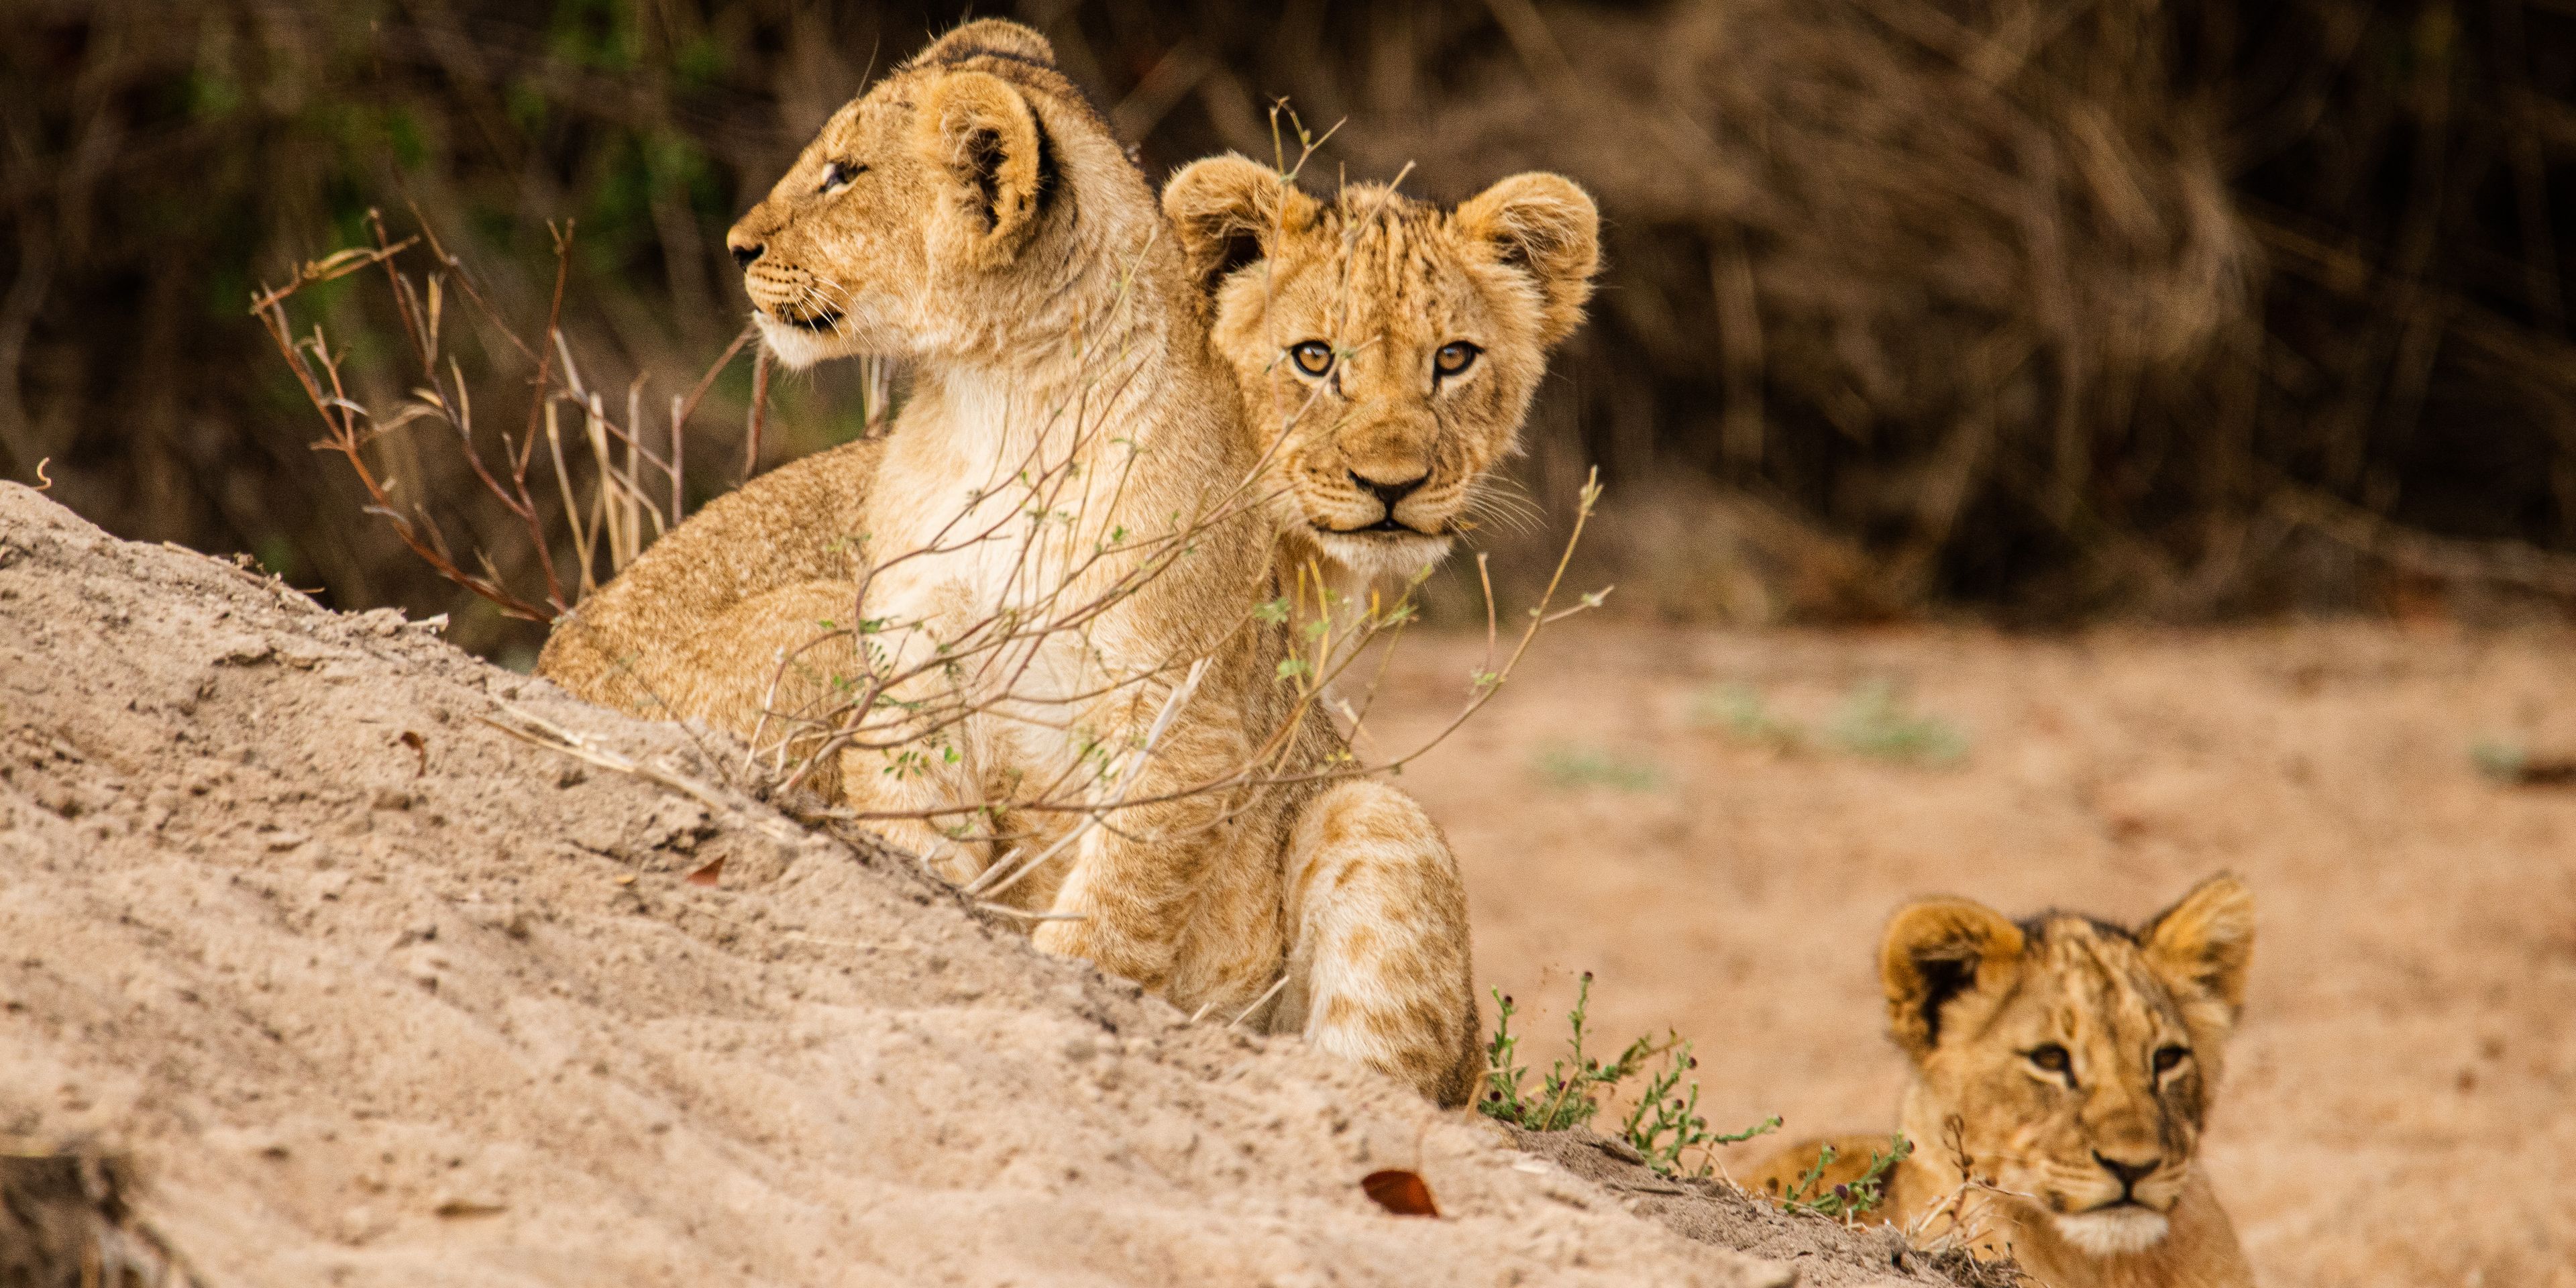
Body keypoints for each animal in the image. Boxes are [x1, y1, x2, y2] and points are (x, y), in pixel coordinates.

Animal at [533, 22, 1594, 1107]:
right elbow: (926, 847)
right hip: (825, 629)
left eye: (844, 175)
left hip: (1372, 817)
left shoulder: (1186, 712)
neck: (1008, 400)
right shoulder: (911, 665)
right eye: (1312, 359)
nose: (738, 248)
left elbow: (1115, 902)